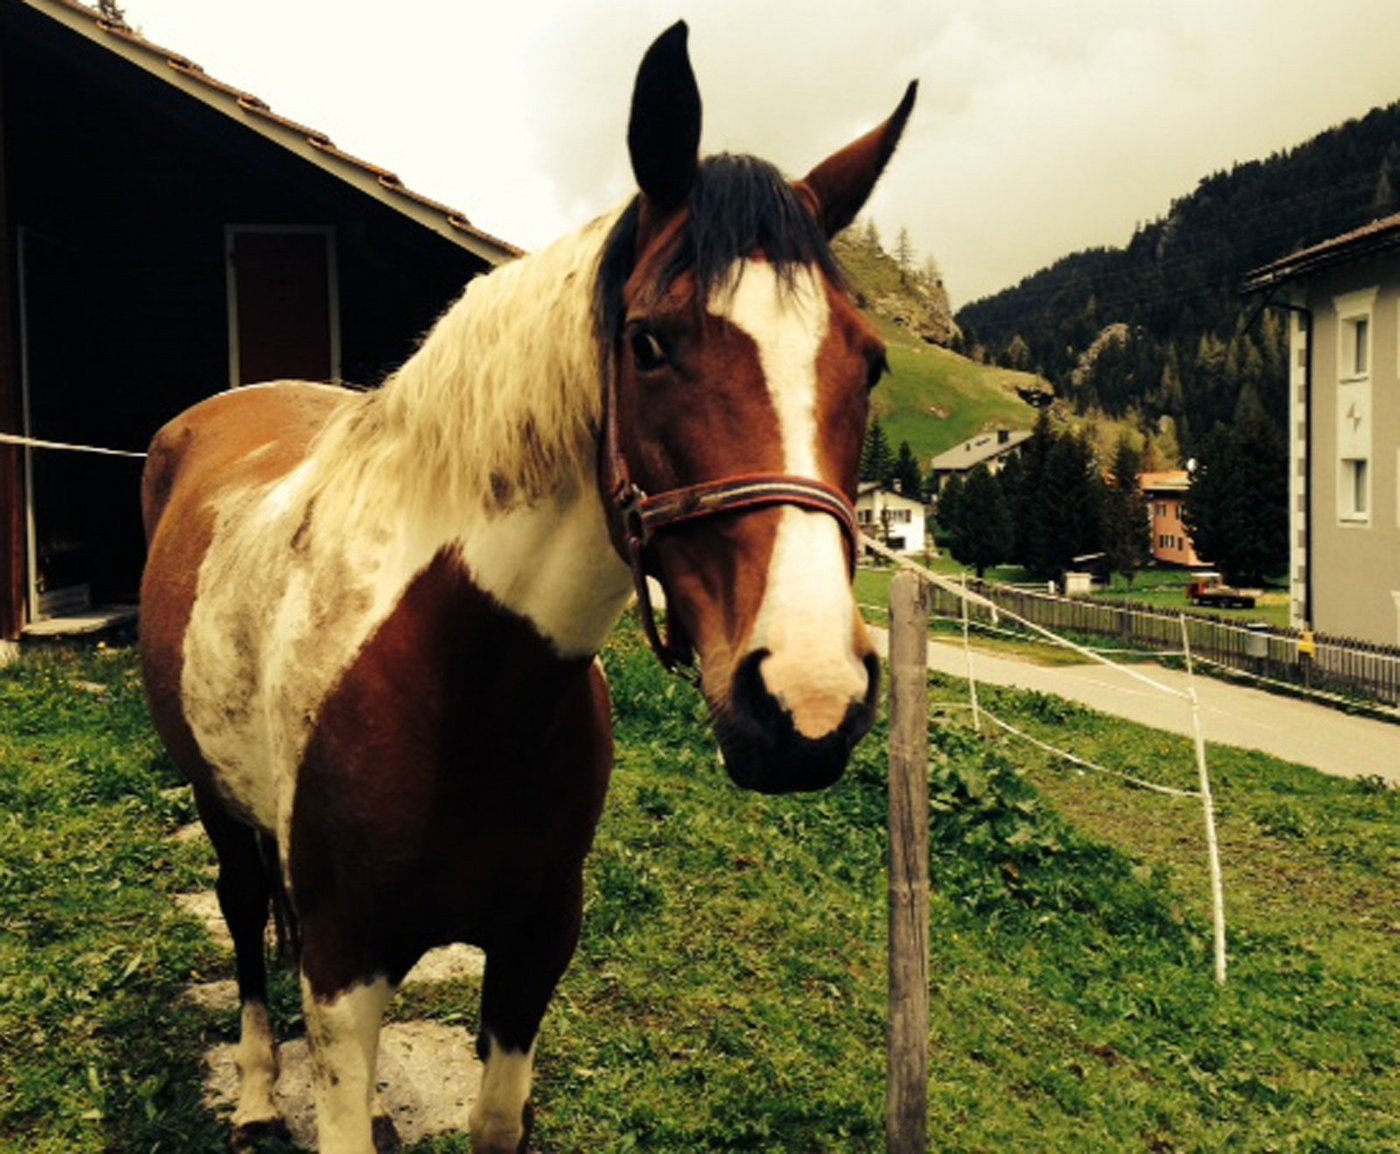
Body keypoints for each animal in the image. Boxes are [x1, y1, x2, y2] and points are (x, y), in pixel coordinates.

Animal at [139, 22, 915, 1153]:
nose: (808, 701)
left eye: (869, 363)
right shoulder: (342, 963)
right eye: (649, 343)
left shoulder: (532, 948)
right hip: (218, 804)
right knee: (242, 919)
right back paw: (251, 1094)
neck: (457, 672)